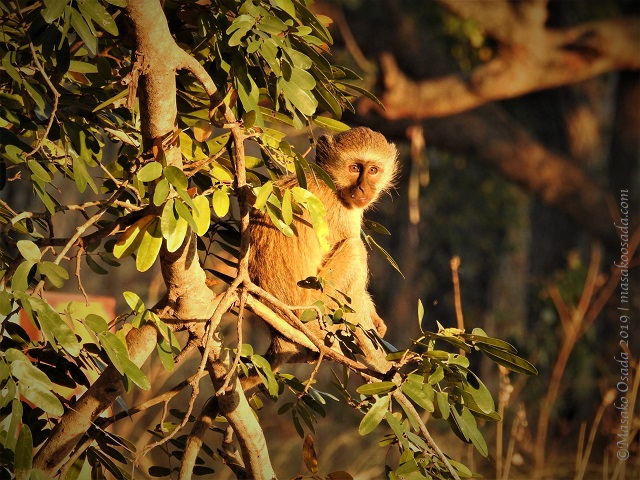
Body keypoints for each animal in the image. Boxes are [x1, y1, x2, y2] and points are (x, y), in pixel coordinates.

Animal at [247, 127, 398, 376]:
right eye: (354, 168)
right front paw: (384, 364)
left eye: (373, 170)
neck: (332, 183)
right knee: (355, 250)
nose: (363, 188)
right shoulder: (342, 215)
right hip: (314, 307)